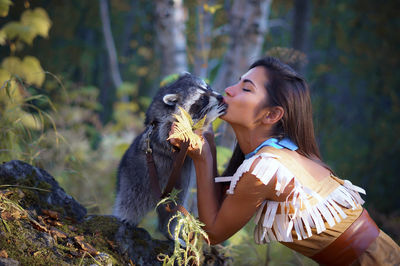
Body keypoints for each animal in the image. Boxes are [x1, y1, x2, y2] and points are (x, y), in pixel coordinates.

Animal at [112, 72, 227, 233]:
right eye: (202, 98)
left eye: (208, 88)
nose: (221, 97)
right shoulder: (166, 126)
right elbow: (176, 135)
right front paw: (209, 116)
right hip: (132, 178)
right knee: (130, 200)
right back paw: (125, 218)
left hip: (176, 189)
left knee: (173, 210)